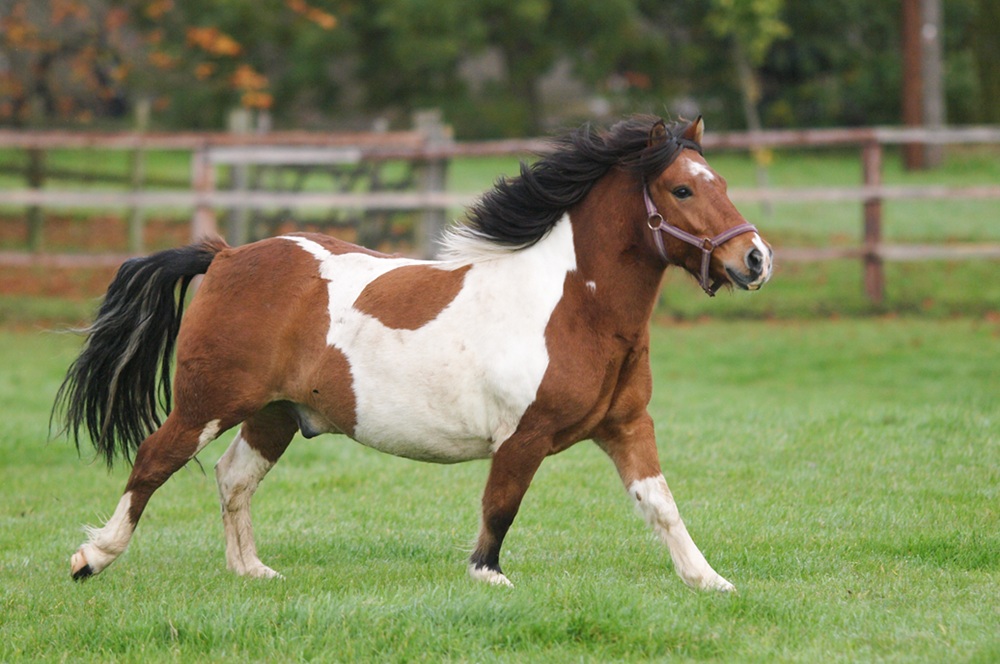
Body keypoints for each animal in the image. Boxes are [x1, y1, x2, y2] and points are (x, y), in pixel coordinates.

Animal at [54, 115, 772, 591]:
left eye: (721, 181)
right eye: (682, 190)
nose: (756, 259)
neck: (573, 307)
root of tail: (228, 255)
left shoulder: (626, 426)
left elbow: (660, 504)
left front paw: (709, 581)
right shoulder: (524, 436)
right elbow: (500, 508)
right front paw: (488, 577)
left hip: (273, 413)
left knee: (234, 478)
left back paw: (251, 570)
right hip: (209, 402)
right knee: (154, 460)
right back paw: (92, 558)